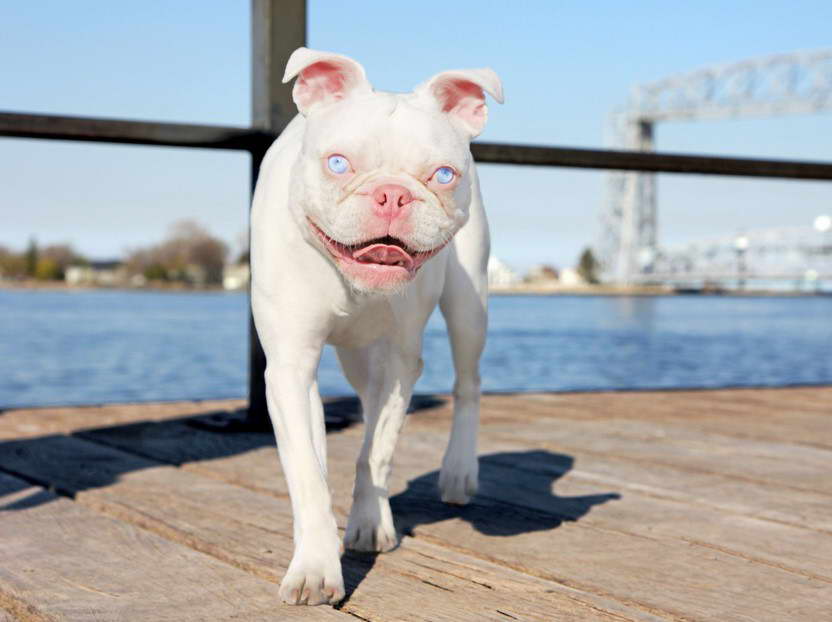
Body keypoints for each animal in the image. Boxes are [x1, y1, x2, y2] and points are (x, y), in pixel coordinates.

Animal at [250, 48, 504, 608]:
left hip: (469, 306)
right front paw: (316, 568)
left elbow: (376, 453)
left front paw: (368, 523)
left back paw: (458, 470)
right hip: (355, 357)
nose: (391, 195)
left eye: (443, 174)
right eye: (338, 164)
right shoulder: (291, 368)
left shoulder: (399, 361)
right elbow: (310, 472)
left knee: (468, 383)